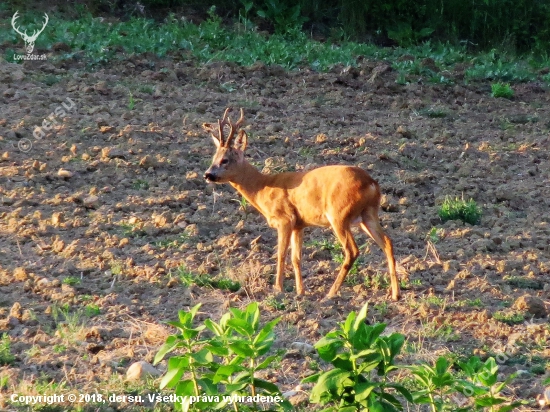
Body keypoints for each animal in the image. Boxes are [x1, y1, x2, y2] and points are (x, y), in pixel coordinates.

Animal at [203, 108, 402, 300]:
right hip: (368, 214)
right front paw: (301, 291)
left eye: (225, 160)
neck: (263, 188)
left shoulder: (285, 218)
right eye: (213, 158)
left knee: (352, 251)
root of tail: (371, 183)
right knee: (388, 242)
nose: (207, 174)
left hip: (339, 214)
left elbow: (281, 254)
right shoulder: (299, 224)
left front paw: (278, 289)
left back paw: (330, 293)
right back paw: (395, 294)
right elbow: (296, 258)